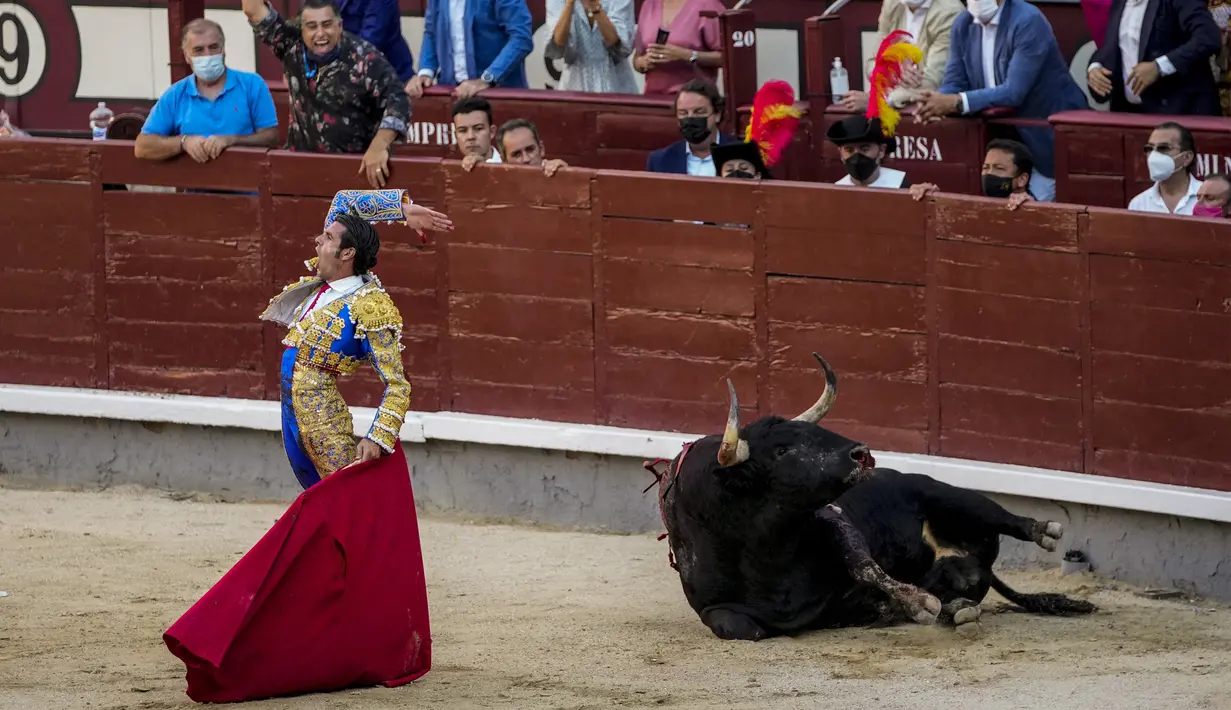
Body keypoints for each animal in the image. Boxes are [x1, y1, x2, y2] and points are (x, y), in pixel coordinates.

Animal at [645, 351, 1098, 639]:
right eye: (783, 450)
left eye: (808, 431)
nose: (861, 454)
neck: (763, 551)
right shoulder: (713, 609)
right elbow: (743, 629)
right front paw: (906, 607)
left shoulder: (834, 521)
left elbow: (865, 566)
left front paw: (916, 604)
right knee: (967, 584)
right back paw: (959, 608)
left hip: (949, 495)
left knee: (1004, 517)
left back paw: (1044, 530)